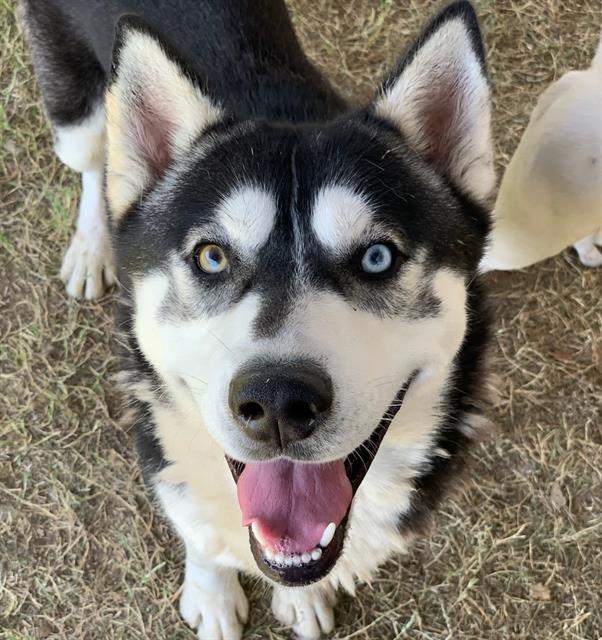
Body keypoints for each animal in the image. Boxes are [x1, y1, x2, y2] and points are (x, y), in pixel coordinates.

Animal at [22, 0, 492, 636]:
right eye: (212, 257)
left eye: (377, 257)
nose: (277, 402)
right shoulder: (159, 441)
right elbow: (198, 526)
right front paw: (213, 594)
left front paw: (302, 599)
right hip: (76, 111)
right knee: (99, 169)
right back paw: (94, 246)